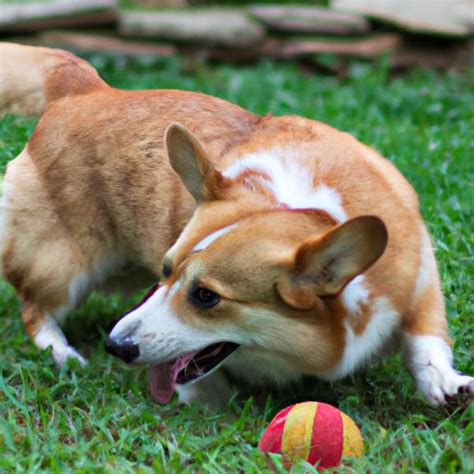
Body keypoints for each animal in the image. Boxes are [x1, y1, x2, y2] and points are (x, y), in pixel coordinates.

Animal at [0, 43, 472, 408]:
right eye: (166, 270)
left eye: (206, 297)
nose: (115, 347)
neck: (312, 212)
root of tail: (81, 86)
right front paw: (208, 407)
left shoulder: (420, 282)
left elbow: (426, 338)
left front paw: (445, 384)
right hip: (65, 266)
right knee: (35, 307)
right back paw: (61, 352)